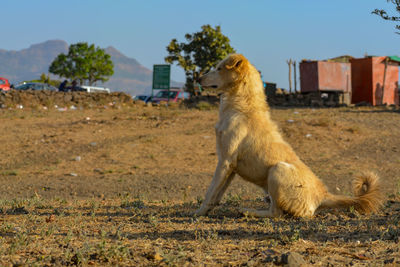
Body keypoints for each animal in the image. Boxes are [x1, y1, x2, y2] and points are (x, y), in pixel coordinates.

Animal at [197, 54, 384, 218]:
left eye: (219, 68)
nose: (198, 79)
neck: (241, 107)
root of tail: (323, 195)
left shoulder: (225, 160)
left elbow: (210, 192)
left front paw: (197, 213)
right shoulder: (231, 166)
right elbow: (217, 195)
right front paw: (206, 211)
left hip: (277, 170)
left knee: (276, 213)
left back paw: (248, 211)